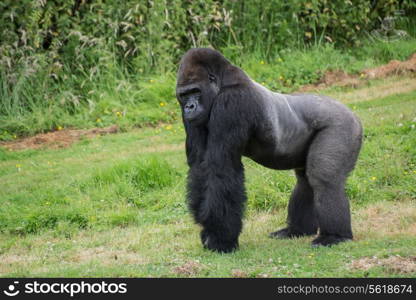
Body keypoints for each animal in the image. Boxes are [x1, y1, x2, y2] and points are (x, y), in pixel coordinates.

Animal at [175, 48, 360, 252]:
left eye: (195, 91)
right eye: (184, 95)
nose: (189, 107)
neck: (223, 82)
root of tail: (353, 114)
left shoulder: (232, 102)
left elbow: (221, 168)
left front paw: (220, 238)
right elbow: (200, 166)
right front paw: (210, 231)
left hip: (342, 125)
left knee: (324, 179)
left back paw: (335, 236)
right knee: (305, 181)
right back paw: (296, 230)